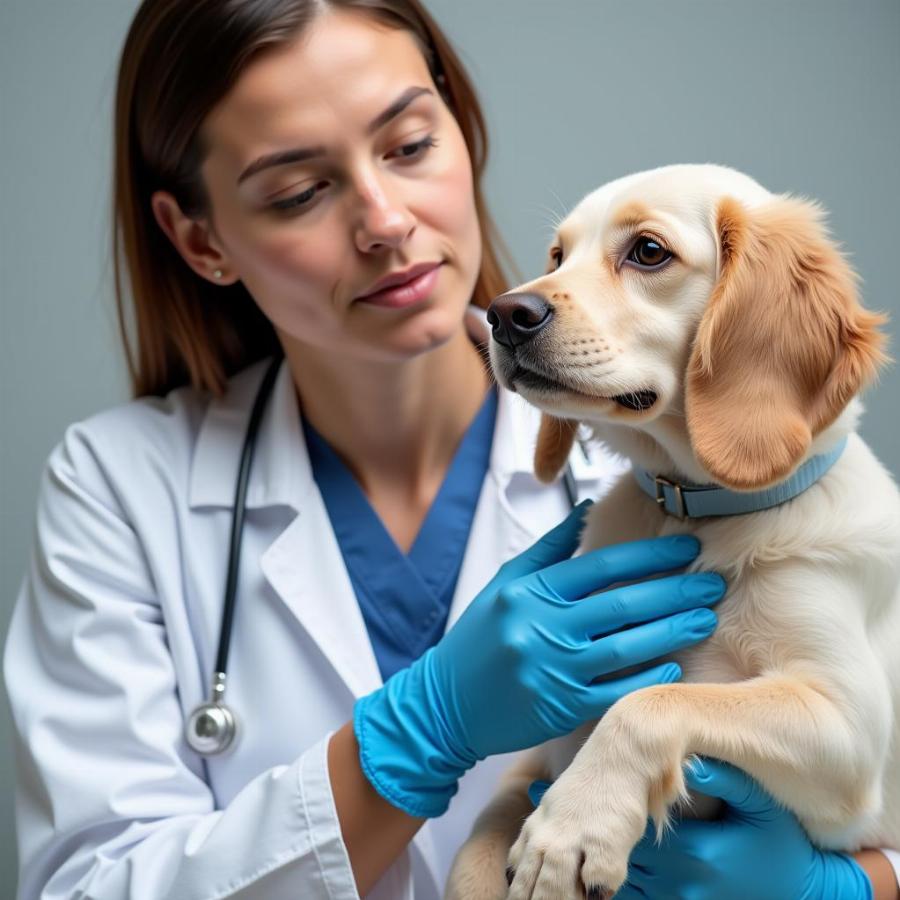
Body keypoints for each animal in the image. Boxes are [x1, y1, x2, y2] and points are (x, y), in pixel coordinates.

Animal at [442, 163, 900, 900]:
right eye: (557, 256)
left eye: (648, 252)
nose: (503, 314)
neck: (695, 515)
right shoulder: (541, 752)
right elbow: (483, 838)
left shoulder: (847, 727)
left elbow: (654, 698)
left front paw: (572, 827)